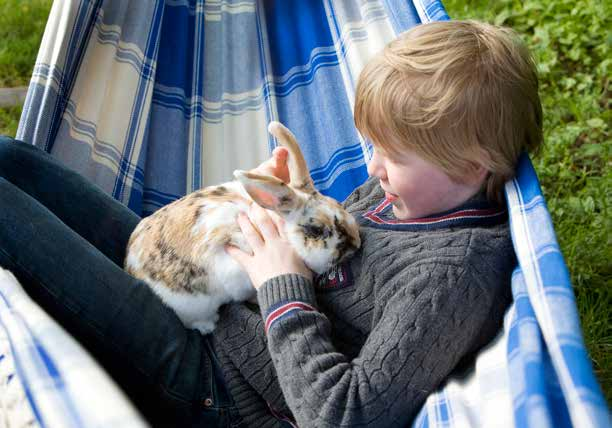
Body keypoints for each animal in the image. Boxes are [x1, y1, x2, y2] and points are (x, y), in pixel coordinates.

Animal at [126, 121, 360, 334]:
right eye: (315, 230)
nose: (356, 244)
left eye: (338, 205)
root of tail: (129, 264)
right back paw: (208, 324)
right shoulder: (237, 276)